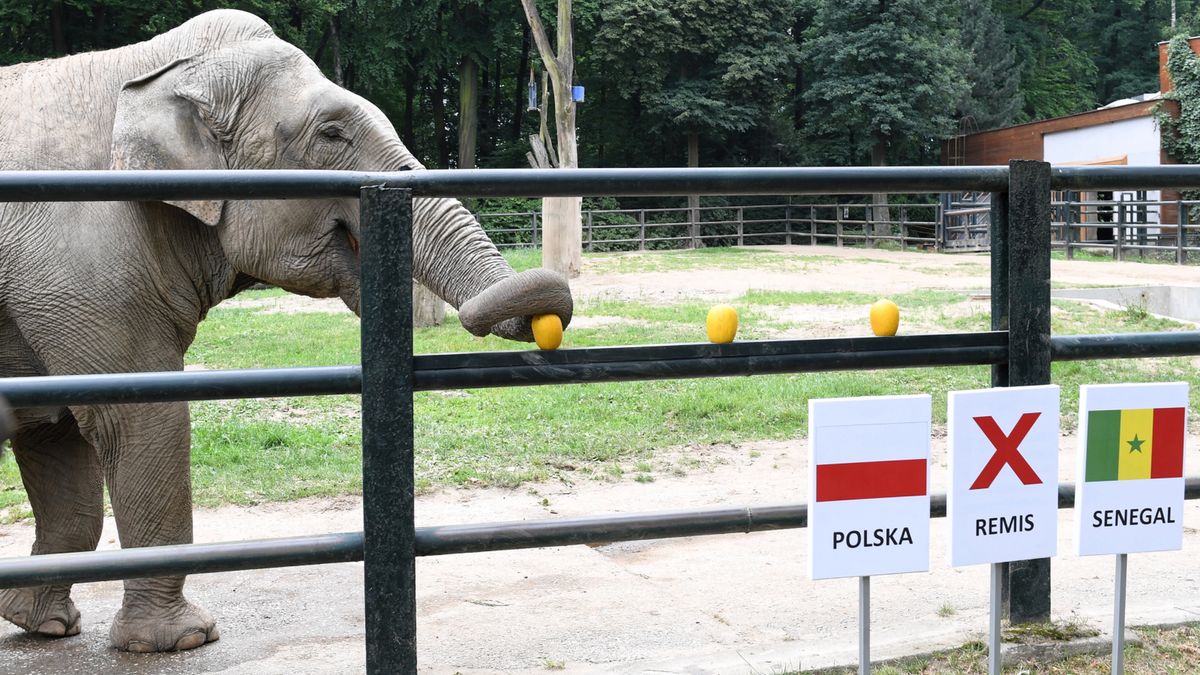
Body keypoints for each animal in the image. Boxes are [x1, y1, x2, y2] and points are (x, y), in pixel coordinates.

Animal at [0, 7, 573, 653]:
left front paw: (45, 626)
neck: (153, 67)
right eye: (330, 135)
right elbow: (135, 414)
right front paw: (182, 641)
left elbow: (56, 432)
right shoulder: (82, 258)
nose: (548, 323)